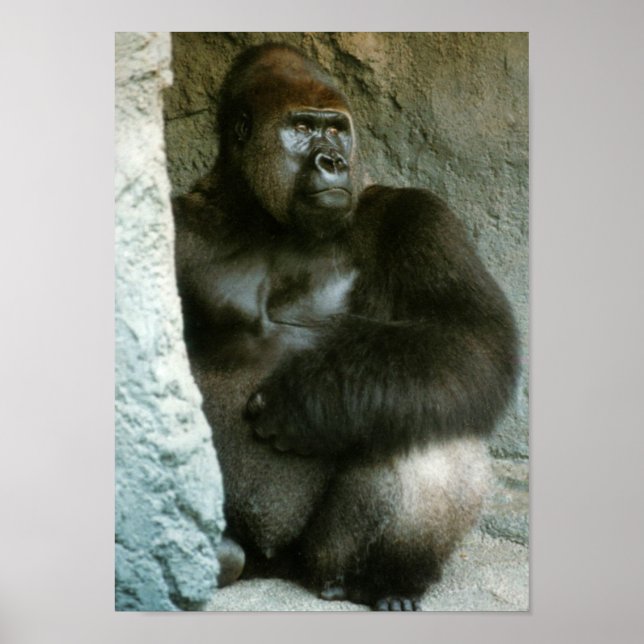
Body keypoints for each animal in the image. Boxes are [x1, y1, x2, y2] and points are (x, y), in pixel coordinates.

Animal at [172, 43, 519, 611]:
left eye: (336, 130)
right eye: (301, 127)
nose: (333, 161)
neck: (260, 215)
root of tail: (271, 564)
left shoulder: (419, 214)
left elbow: (471, 337)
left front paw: (307, 399)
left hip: (317, 555)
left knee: (433, 407)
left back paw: (381, 580)